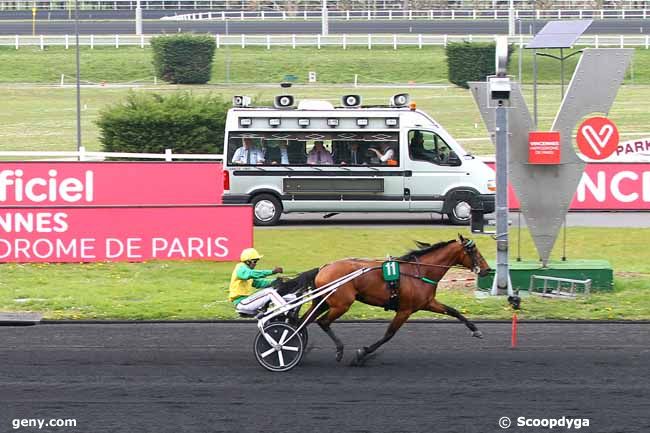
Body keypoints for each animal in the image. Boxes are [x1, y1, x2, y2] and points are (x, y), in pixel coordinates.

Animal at [276, 233, 488, 364]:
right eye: (474, 251)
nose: (487, 269)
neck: (419, 272)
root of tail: (323, 268)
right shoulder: (405, 310)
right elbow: (388, 334)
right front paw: (361, 354)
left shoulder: (427, 303)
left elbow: (454, 311)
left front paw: (476, 330)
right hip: (341, 304)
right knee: (322, 322)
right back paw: (337, 349)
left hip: (324, 302)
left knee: (303, 322)